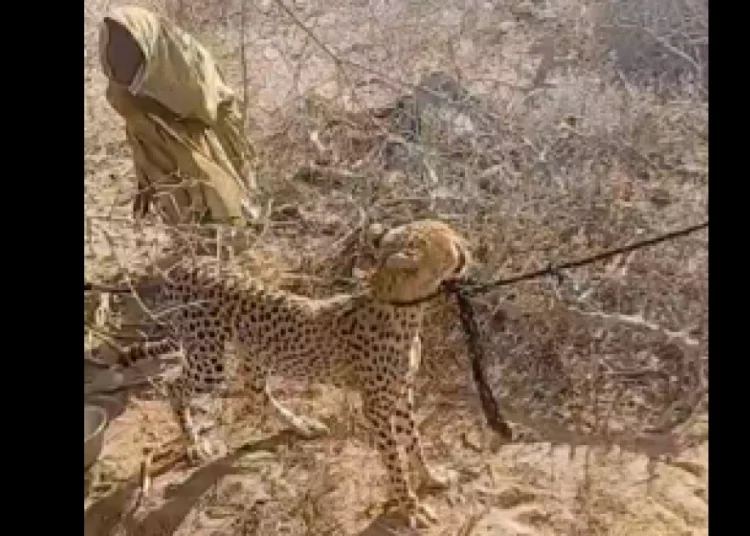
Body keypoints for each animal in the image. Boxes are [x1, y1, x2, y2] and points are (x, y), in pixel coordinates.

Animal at [108, 219, 471, 528]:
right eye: (450, 239)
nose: (467, 244)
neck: (404, 307)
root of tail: (186, 264)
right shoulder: (377, 407)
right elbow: (396, 461)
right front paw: (410, 506)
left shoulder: (402, 393)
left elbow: (414, 442)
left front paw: (431, 477)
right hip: (210, 359)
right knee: (173, 384)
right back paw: (194, 443)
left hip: (252, 351)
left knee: (254, 391)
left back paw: (300, 425)